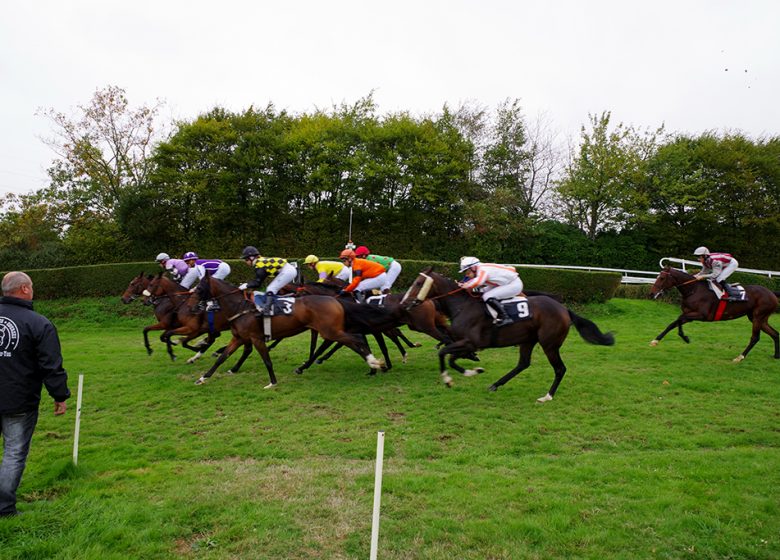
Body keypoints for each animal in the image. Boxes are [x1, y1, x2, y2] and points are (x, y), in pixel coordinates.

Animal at [402, 270, 616, 400]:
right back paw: (495, 385)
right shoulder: (464, 343)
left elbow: (447, 354)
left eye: (419, 283)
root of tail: (564, 309)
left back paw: (547, 396)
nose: (404, 303)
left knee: (559, 369)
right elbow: (449, 354)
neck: (463, 305)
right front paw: (467, 371)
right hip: (528, 340)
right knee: (523, 363)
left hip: (549, 344)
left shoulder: (471, 342)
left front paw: (458, 375)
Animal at [644, 266, 780, 360]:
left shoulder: (702, 315)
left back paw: (739, 357)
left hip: (758, 316)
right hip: (758, 318)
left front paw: (685, 337)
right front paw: (656, 340)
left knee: (755, 337)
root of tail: (772, 293)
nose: (651, 293)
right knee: (775, 333)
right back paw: (776, 355)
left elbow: (679, 318)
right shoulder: (690, 315)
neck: (694, 290)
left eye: (662, 278)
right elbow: (673, 323)